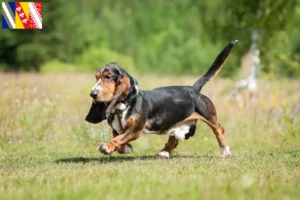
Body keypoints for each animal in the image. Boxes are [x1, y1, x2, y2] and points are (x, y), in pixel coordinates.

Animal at [85, 39, 237, 159]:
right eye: (96, 77)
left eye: (108, 77)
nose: (93, 94)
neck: (122, 107)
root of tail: (193, 89)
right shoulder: (117, 130)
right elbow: (119, 141)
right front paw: (127, 148)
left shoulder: (135, 130)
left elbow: (118, 139)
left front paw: (106, 147)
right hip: (177, 124)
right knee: (174, 140)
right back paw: (164, 152)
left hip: (208, 115)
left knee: (219, 129)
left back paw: (225, 151)